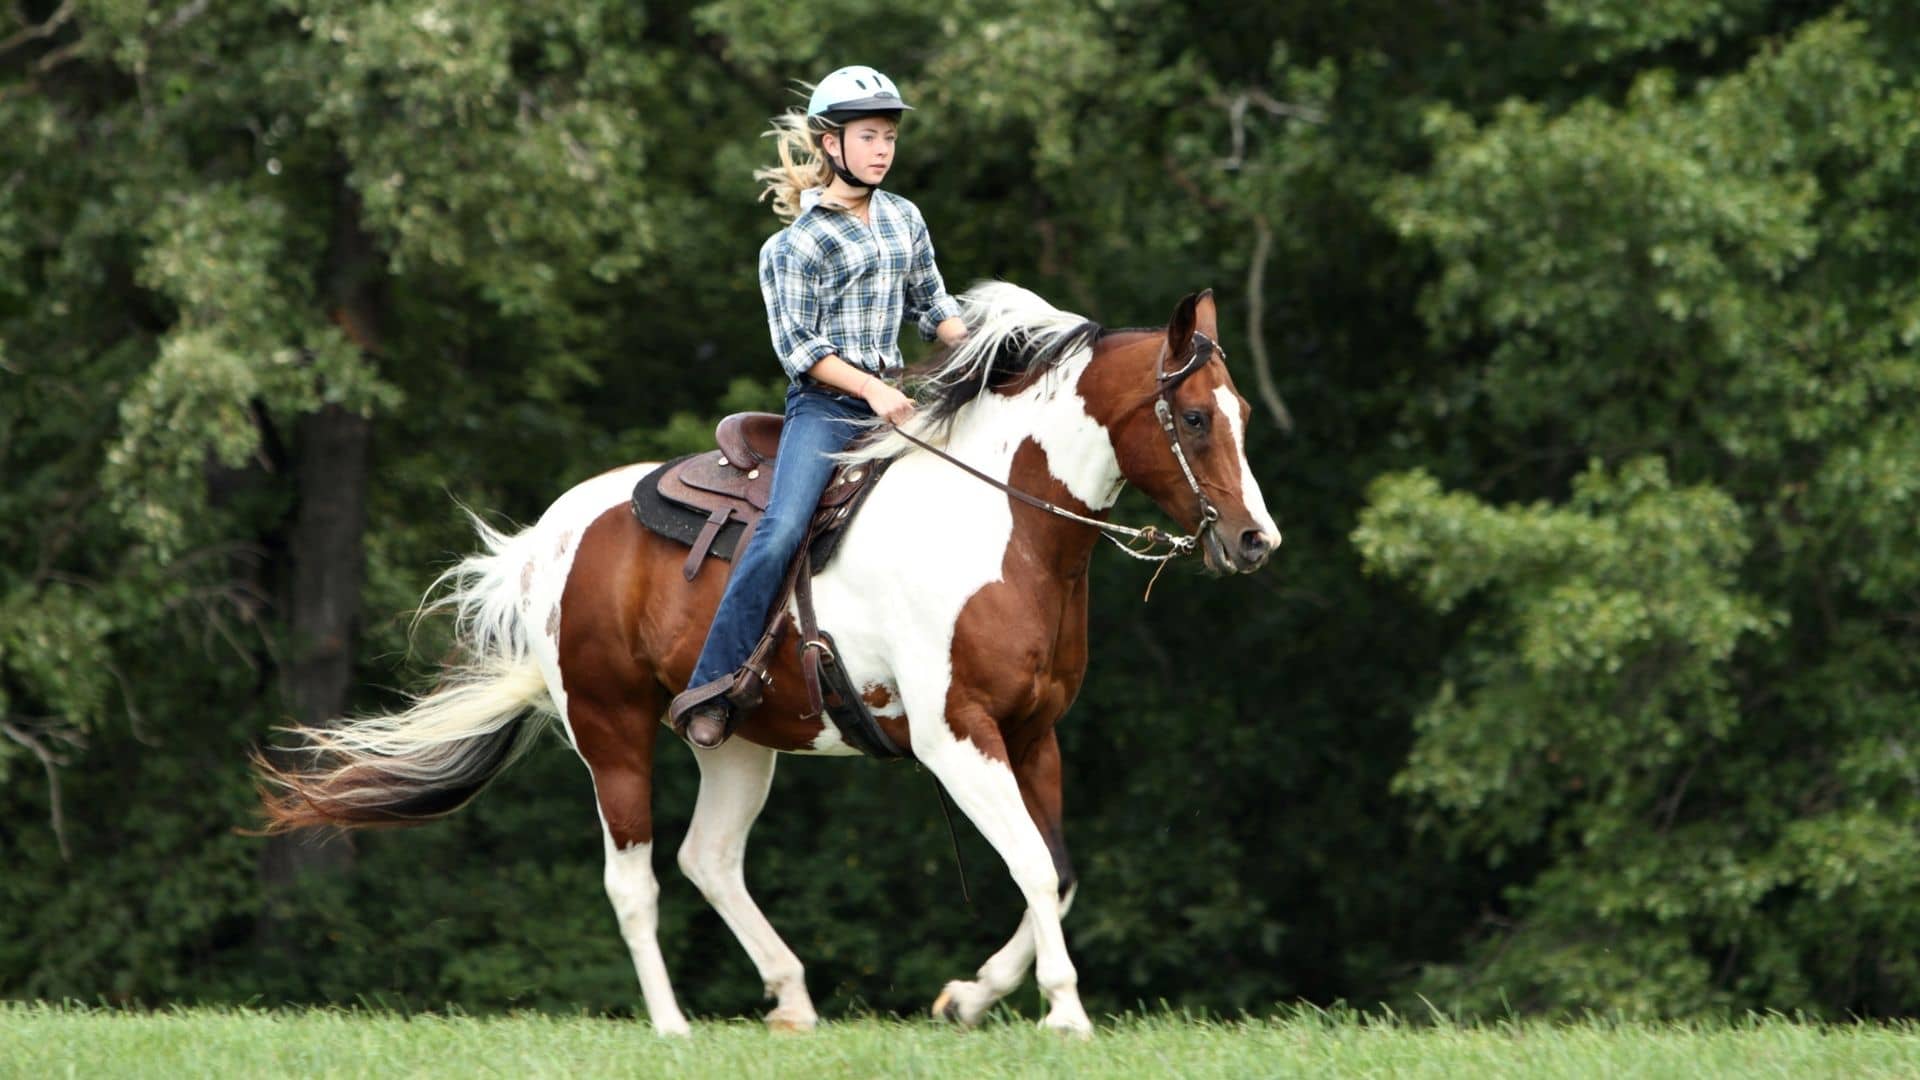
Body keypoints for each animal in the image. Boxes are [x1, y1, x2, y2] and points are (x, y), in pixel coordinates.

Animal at [255, 282, 1274, 1030]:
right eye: (1191, 417)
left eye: (1242, 414)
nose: (1257, 541)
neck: (1003, 527)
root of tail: (548, 541)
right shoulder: (957, 737)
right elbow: (1026, 861)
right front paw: (1064, 1014)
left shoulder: (1034, 733)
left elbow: (1054, 874)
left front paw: (968, 998)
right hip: (610, 730)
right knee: (633, 880)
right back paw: (672, 1028)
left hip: (735, 740)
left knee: (708, 857)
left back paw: (791, 1000)